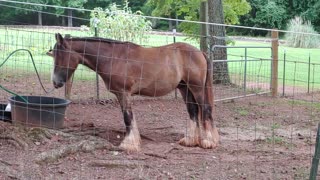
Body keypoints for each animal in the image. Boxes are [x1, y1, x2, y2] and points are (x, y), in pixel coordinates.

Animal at [49, 33, 220, 151]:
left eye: (61, 55)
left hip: (197, 88)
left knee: (205, 109)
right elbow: (129, 117)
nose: (56, 82)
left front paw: (128, 144)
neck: (114, 57)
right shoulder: (120, 94)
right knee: (193, 111)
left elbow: (127, 116)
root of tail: (200, 52)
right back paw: (190, 140)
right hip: (185, 88)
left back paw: (208, 142)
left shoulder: (124, 93)